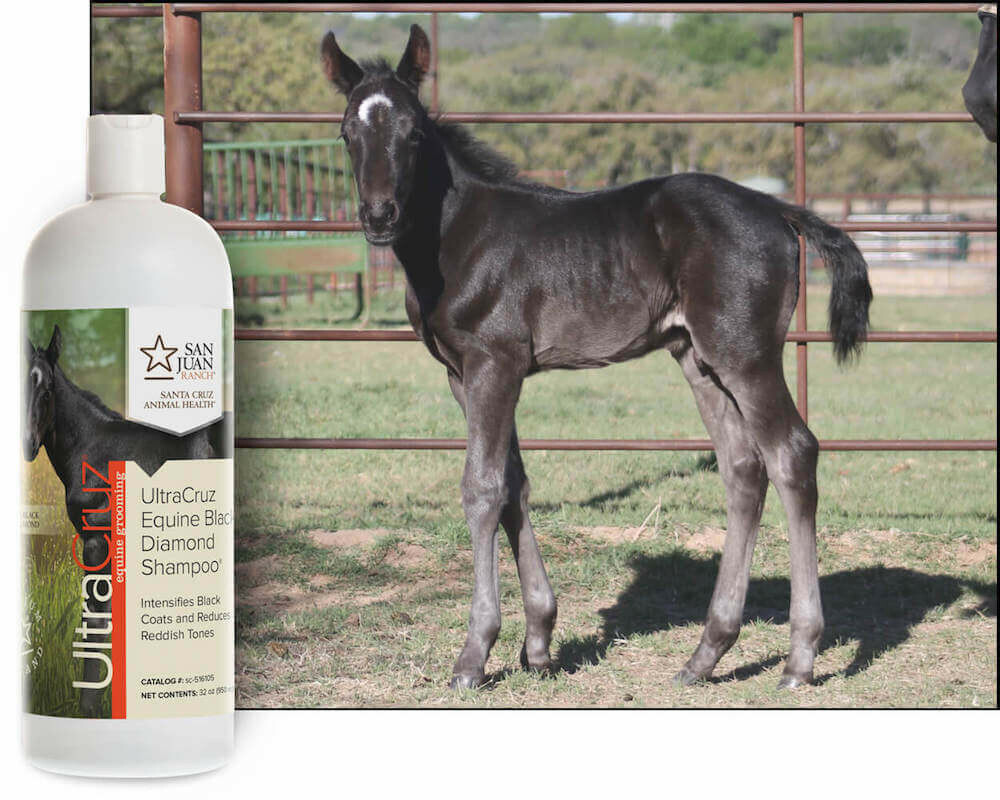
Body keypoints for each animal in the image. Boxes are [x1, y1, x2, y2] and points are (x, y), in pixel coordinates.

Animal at [23, 325, 231, 715]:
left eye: (47, 390)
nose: (26, 444)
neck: (90, 448)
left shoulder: (95, 543)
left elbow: (96, 621)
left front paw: (89, 707)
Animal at [320, 25, 873, 690]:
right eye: (347, 132)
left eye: (413, 133)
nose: (379, 216)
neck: (456, 239)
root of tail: (778, 210)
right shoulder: (464, 375)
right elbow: (514, 485)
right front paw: (538, 642)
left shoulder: (492, 364)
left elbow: (481, 488)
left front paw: (475, 653)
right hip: (698, 357)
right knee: (743, 467)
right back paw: (706, 653)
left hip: (745, 354)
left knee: (792, 454)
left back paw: (799, 658)